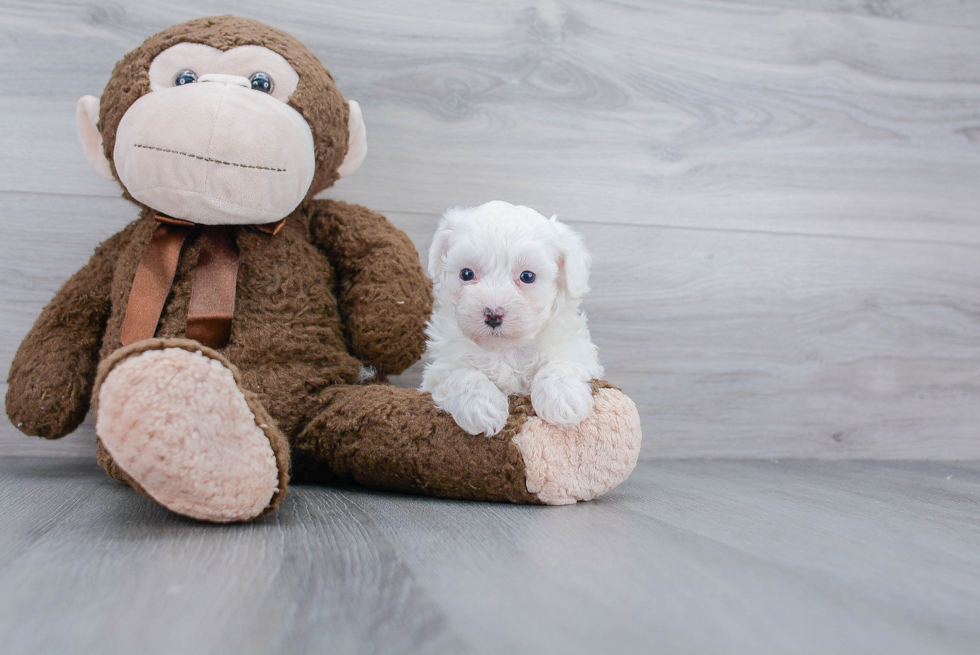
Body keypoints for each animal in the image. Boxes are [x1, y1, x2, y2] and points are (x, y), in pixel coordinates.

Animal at [424, 200, 604, 436]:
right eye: (466, 274)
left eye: (527, 276)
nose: (493, 314)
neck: (506, 349)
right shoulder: (439, 368)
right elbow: (460, 374)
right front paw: (481, 406)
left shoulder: (577, 350)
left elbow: (561, 363)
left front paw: (563, 397)